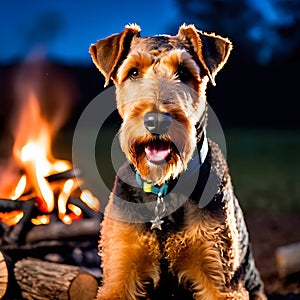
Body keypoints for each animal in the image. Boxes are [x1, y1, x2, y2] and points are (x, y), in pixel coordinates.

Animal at [88, 24, 264, 300]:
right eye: (133, 72)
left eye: (183, 72)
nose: (156, 121)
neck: (163, 189)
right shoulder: (119, 275)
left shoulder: (220, 281)